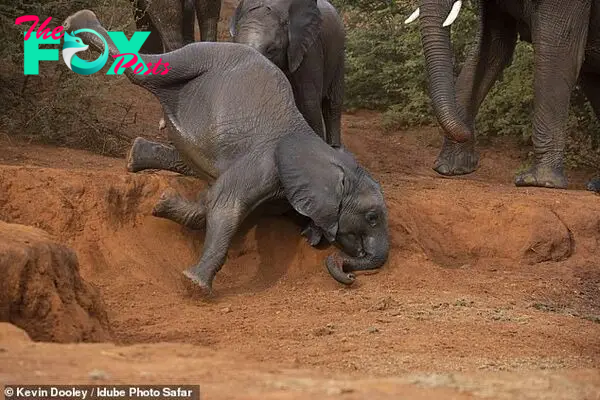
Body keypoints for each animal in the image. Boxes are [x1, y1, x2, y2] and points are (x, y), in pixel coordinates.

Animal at [406, 0, 596, 191]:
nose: (467, 130)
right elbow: (491, 48)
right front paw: (449, 168)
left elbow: (558, 56)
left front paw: (537, 182)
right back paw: (595, 185)